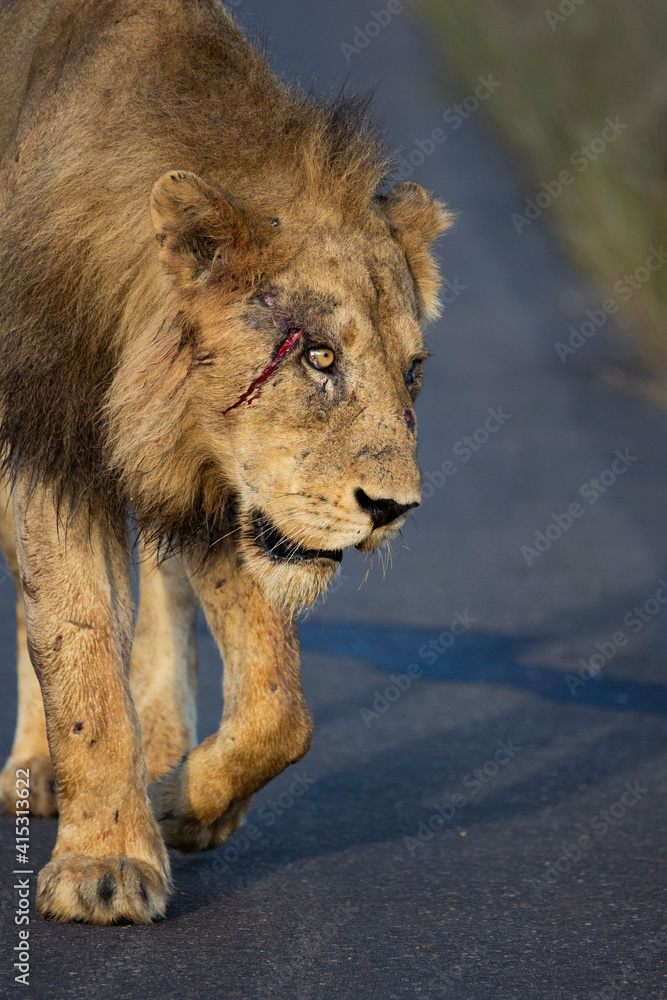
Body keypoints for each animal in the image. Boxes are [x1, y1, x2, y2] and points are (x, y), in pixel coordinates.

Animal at [0, 0, 451, 924]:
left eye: (413, 371)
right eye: (316, 356)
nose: (393, 509)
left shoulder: (228, 494)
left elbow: (281, 706)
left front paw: (185, 801)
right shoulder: (53, 442)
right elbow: (75, 640)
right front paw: (104, 865)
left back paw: (165, 745)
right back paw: (37, 771)